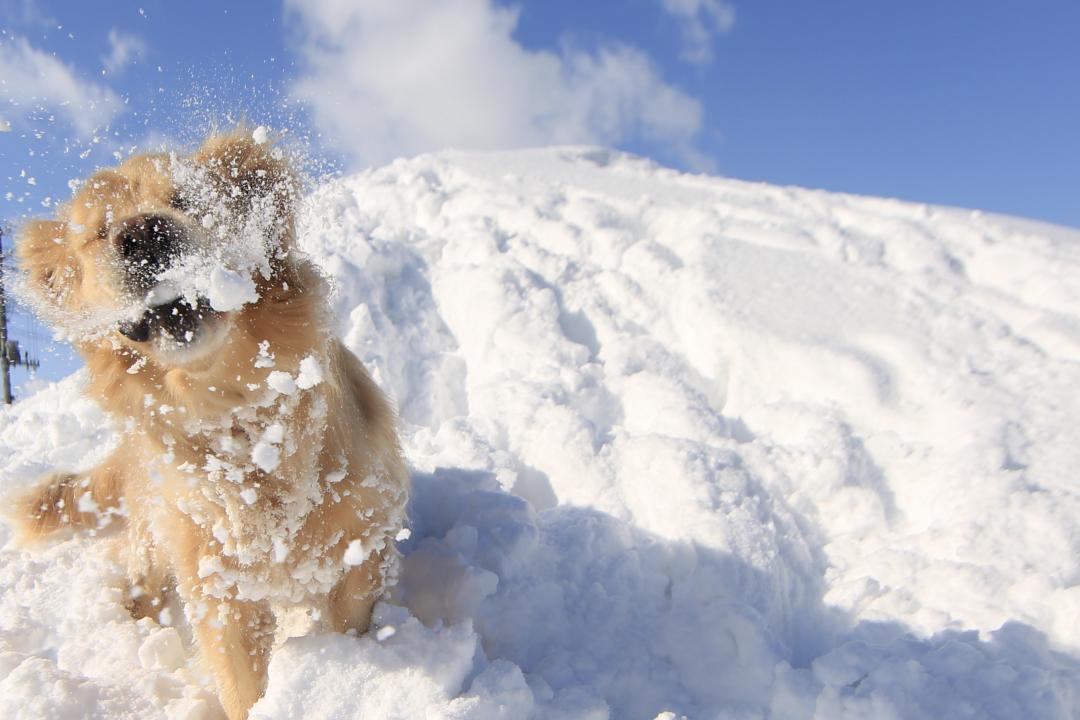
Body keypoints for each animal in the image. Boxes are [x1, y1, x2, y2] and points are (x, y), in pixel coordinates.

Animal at [7, 131, 408, 720]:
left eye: (187, 199)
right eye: (99, 231)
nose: (141, 234)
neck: (235, 415)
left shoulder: (360, 547)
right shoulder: (216, 586)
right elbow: (241, 686)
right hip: (154, 542)